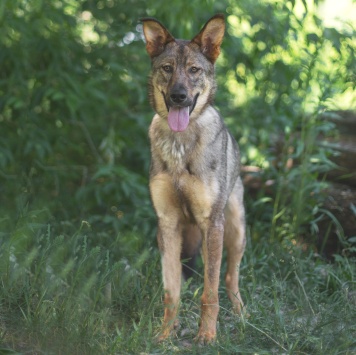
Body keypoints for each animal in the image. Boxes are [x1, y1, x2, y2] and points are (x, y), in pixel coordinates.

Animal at [140, 13, 246, 344]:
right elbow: (171, 292)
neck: (180, 144)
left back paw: (241, 316)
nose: (179, 96)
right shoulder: (167, 224)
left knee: (230, 277)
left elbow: (209, 293)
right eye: (167, 68)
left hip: (235, 231)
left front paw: (207, 336)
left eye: (194, 70)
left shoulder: (212, 224)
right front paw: (165, 335)